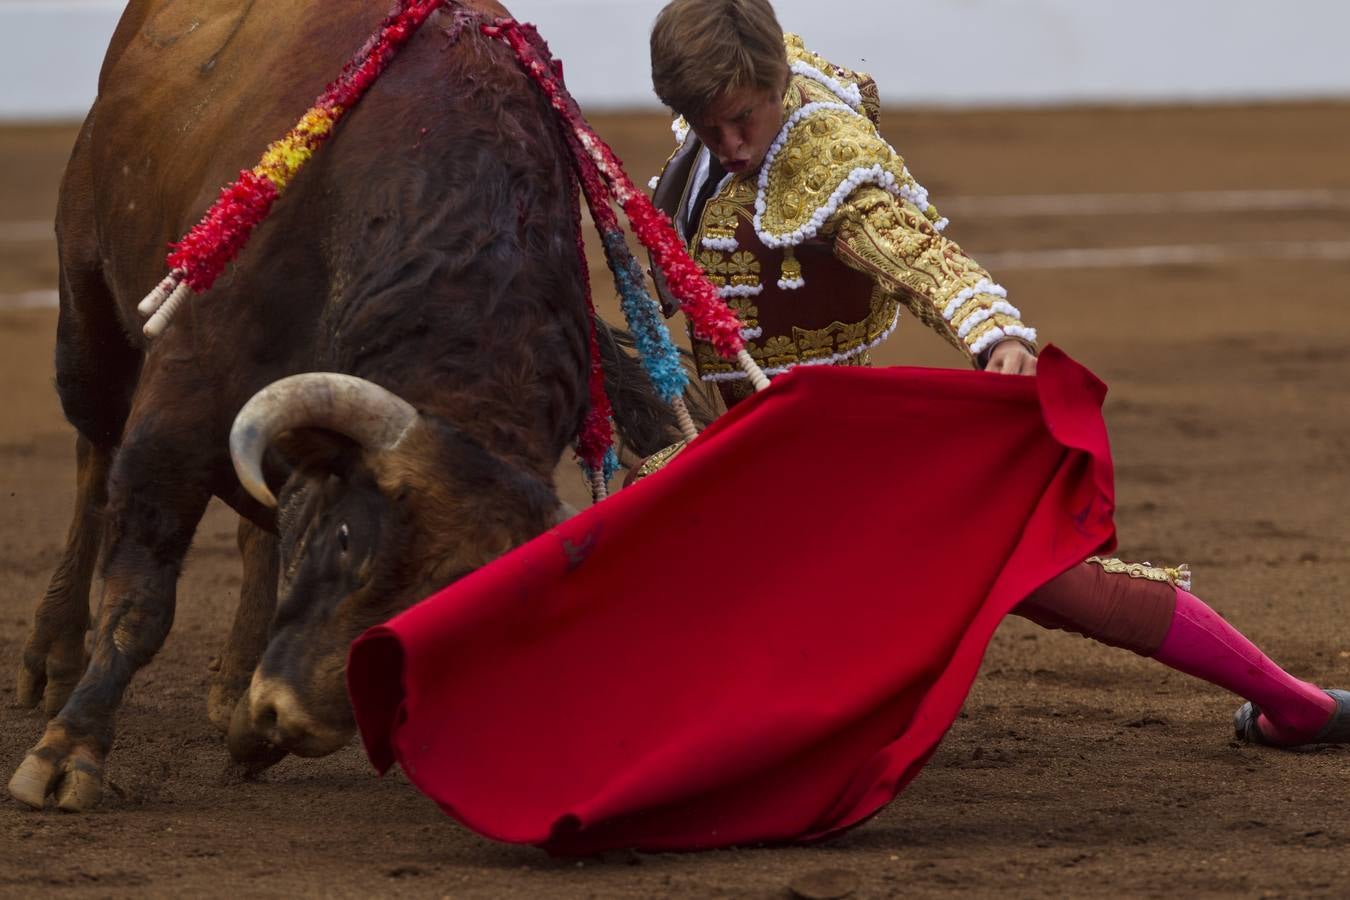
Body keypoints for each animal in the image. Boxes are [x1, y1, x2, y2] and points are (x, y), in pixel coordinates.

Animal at [7, 0, 685, 814]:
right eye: (344, 540)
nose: (293, 719)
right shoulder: (182, 401)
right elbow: (140, 595)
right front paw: (67, 754)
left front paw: (251, 728)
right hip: (88, 311)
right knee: (94, 452)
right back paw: (53, 659)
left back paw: (231, 684)